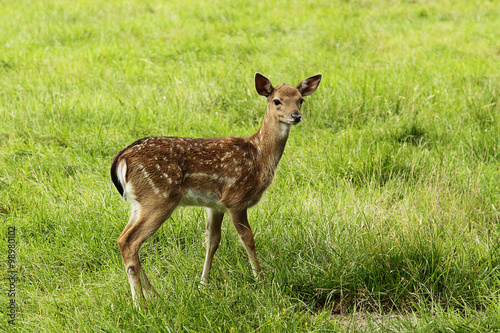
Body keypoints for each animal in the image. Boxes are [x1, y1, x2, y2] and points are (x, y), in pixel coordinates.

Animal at [110, 72, 320, 304]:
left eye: (300, 100)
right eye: (277, 101)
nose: (296, 116)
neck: (259, 156)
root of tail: (121, 158)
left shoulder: (215, 205)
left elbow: (212, 241)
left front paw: (203, 284)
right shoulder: (236, 198)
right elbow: (248, 239)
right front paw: (261, 280)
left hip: (139, 203)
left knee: (123, 239)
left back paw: (153, 295)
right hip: (159, 197)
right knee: (130, 242)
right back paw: (140, 304)